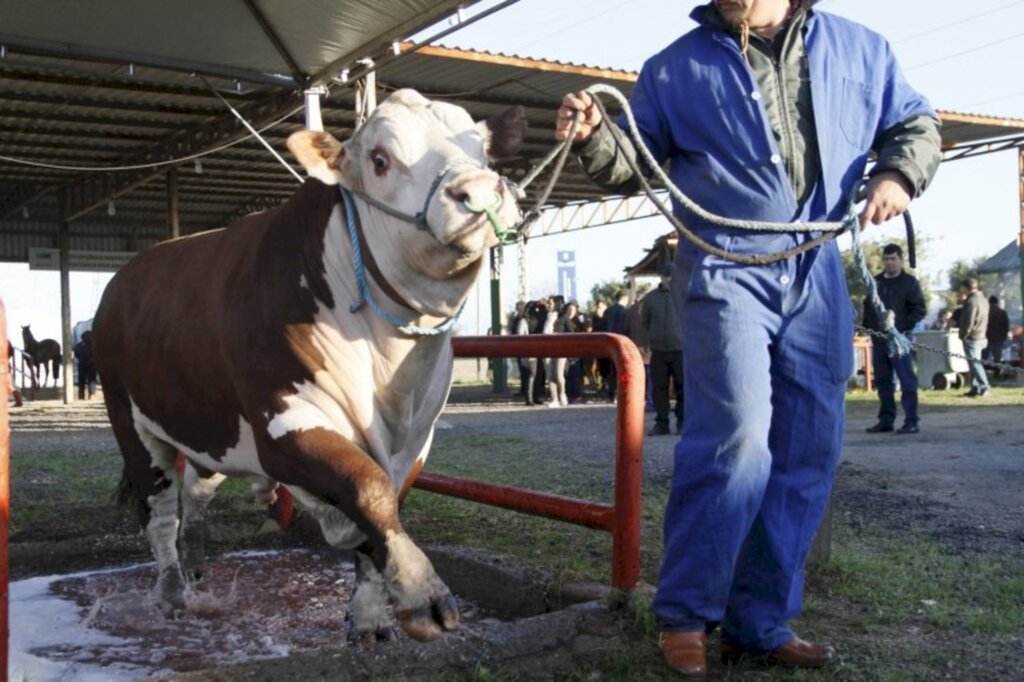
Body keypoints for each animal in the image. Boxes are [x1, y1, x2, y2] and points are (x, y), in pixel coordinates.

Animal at [92, 91, 524, 643]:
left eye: (482, 148)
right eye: (380, 159)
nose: (481, 191)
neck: (391, 379)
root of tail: (124, 278)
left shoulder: (416, 441)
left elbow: (378, 513)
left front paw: (367, 618)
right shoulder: (285, 426)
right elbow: (368, 489)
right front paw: (422, 591)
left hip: (208, 423)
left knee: (196, 494)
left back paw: (194, 570)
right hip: (130, 421)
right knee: (161, 511)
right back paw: (170, 595)